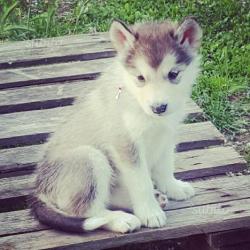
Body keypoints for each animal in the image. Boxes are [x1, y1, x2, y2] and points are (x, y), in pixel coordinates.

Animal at [31, 16, 203, 233]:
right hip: (89, 158)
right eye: (140, 78)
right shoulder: (126, 145)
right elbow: (141, 182)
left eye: (173, 74)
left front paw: (173, 187)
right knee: (86, 211)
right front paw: (150, 213)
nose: (159, 108)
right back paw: (122, 219)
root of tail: (39, 192)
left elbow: (165, 165)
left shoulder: (166, 134)